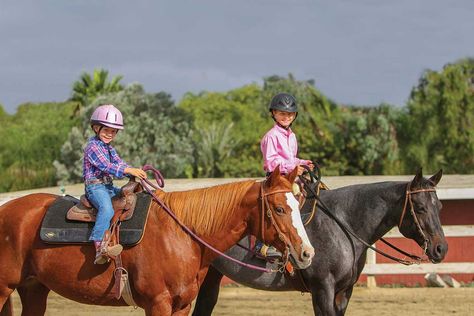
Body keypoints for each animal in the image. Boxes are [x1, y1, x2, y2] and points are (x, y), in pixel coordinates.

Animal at [0, 168, 312, 316]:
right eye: (280, 209)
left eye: (297, 204)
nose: (307, 252)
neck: (183, 235)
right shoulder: (158, 303)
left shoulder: (182, 305)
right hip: (4, 288)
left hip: (33, 289)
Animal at [193, 170, 448, 316]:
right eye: (421, 208)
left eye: (440, 206)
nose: (441, 248)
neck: (343, 224)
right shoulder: (323, 288)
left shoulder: (344, 292)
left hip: (211, 276)